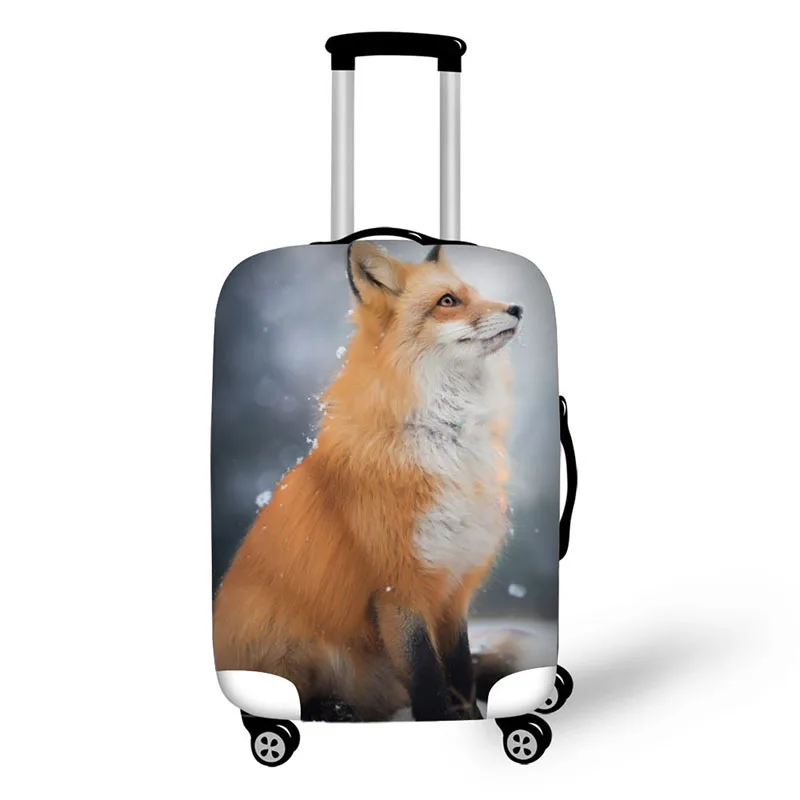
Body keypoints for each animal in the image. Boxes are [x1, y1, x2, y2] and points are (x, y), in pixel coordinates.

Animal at [213, 242, 525, 722]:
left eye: (474, 293)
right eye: (448, 301)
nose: (517, 308)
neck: (445, 441)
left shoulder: (453, 587)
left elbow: (461, 674)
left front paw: (468, 716)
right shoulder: (398, 589)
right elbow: (428, 681)